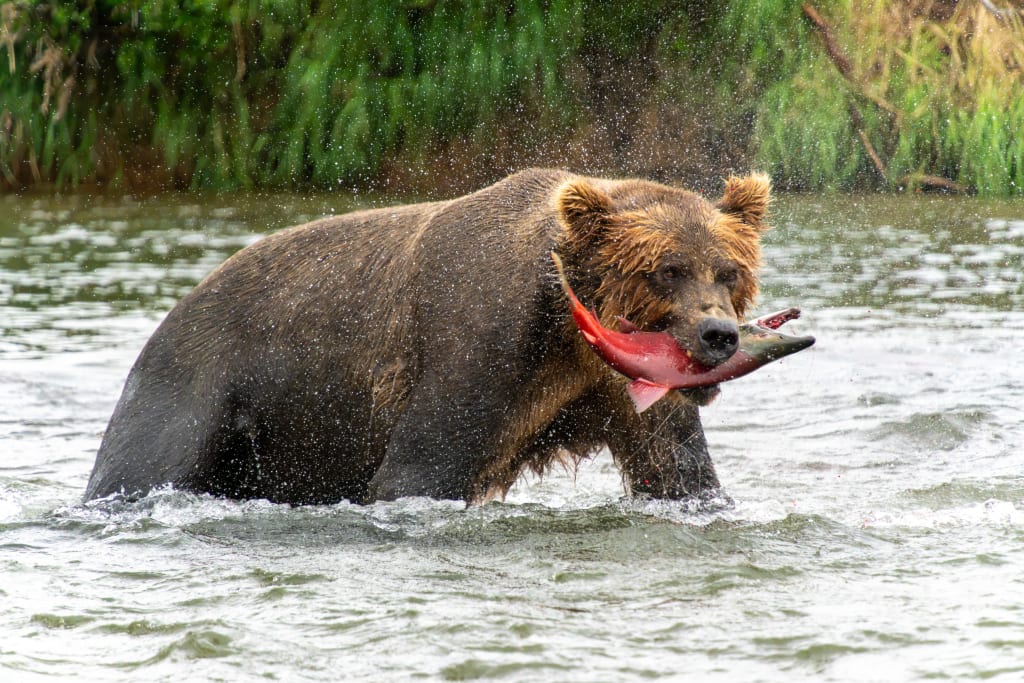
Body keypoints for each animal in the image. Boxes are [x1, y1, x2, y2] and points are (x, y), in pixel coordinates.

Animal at [83, 168, 771, 506]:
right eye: (667, 270)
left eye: (728, 270)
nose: (718, 335)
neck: (567, 335)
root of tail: (179, 303)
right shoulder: (483, 343)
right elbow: (420, 467)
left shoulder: (623, 390)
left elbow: (678, 469)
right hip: (198, 384)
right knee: (139, 468)